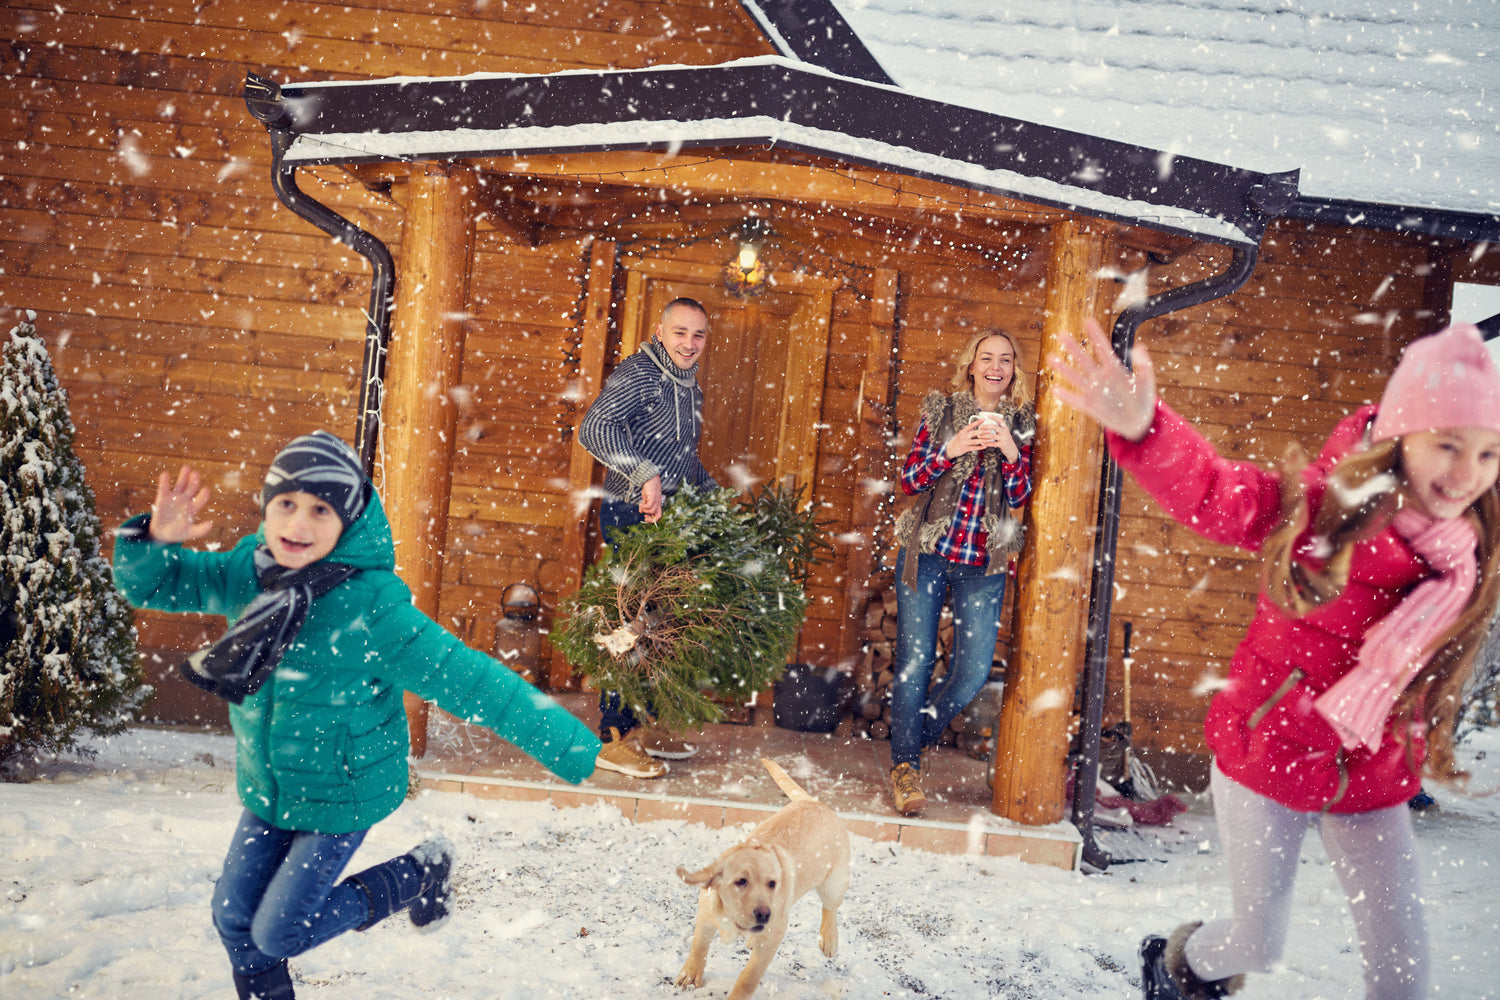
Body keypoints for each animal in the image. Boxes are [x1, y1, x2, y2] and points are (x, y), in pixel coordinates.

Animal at [675, 758, 852, 1000]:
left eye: (773, 884)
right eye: (741, 881)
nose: (764, 914)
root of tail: (816, 803)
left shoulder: (773, 936)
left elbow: (749, 977)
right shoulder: (706, 914)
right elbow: (699, 946)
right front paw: (691, 975)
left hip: (833, 884)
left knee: (830, 908)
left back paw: (829, 939)